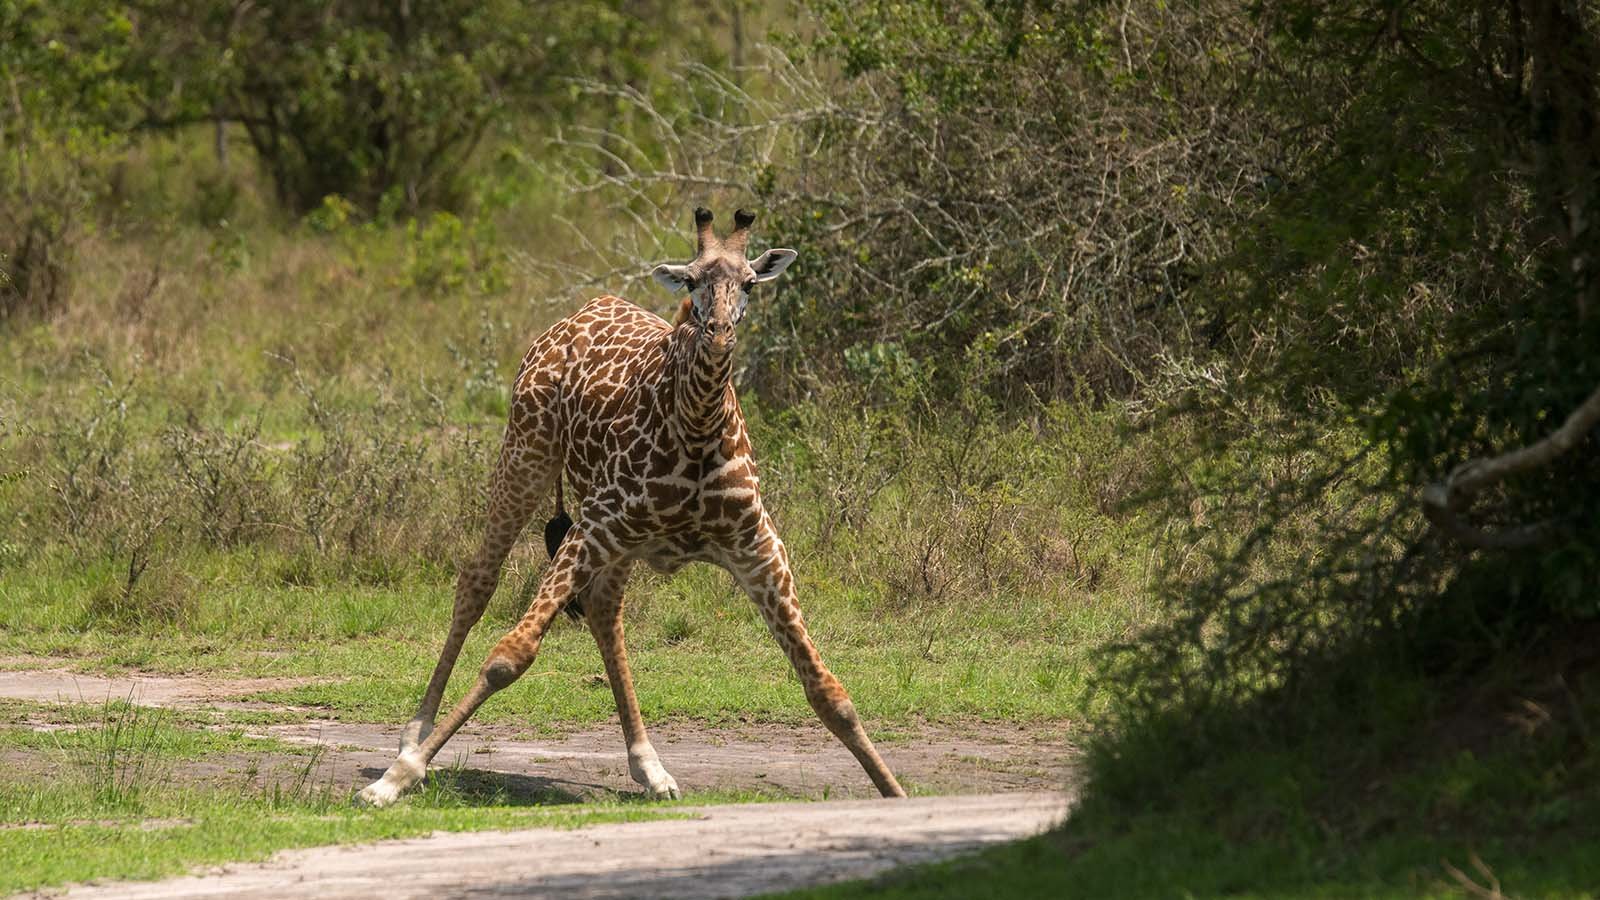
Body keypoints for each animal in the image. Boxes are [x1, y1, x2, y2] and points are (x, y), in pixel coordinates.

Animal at [361, 206, 908, 800]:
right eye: (692, 282)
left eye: (749, 283)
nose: (718, 331)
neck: (697, 426)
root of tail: (581, 311)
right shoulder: (594, 526)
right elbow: (509, 657)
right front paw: (395, 779)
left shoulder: (758, 549)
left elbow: (829, 692)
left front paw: (896, 795)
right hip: (528, 457)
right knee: (478, 580)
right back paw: (413, 735)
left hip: (617, 536)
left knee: (604, 610)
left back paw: (651, 767)